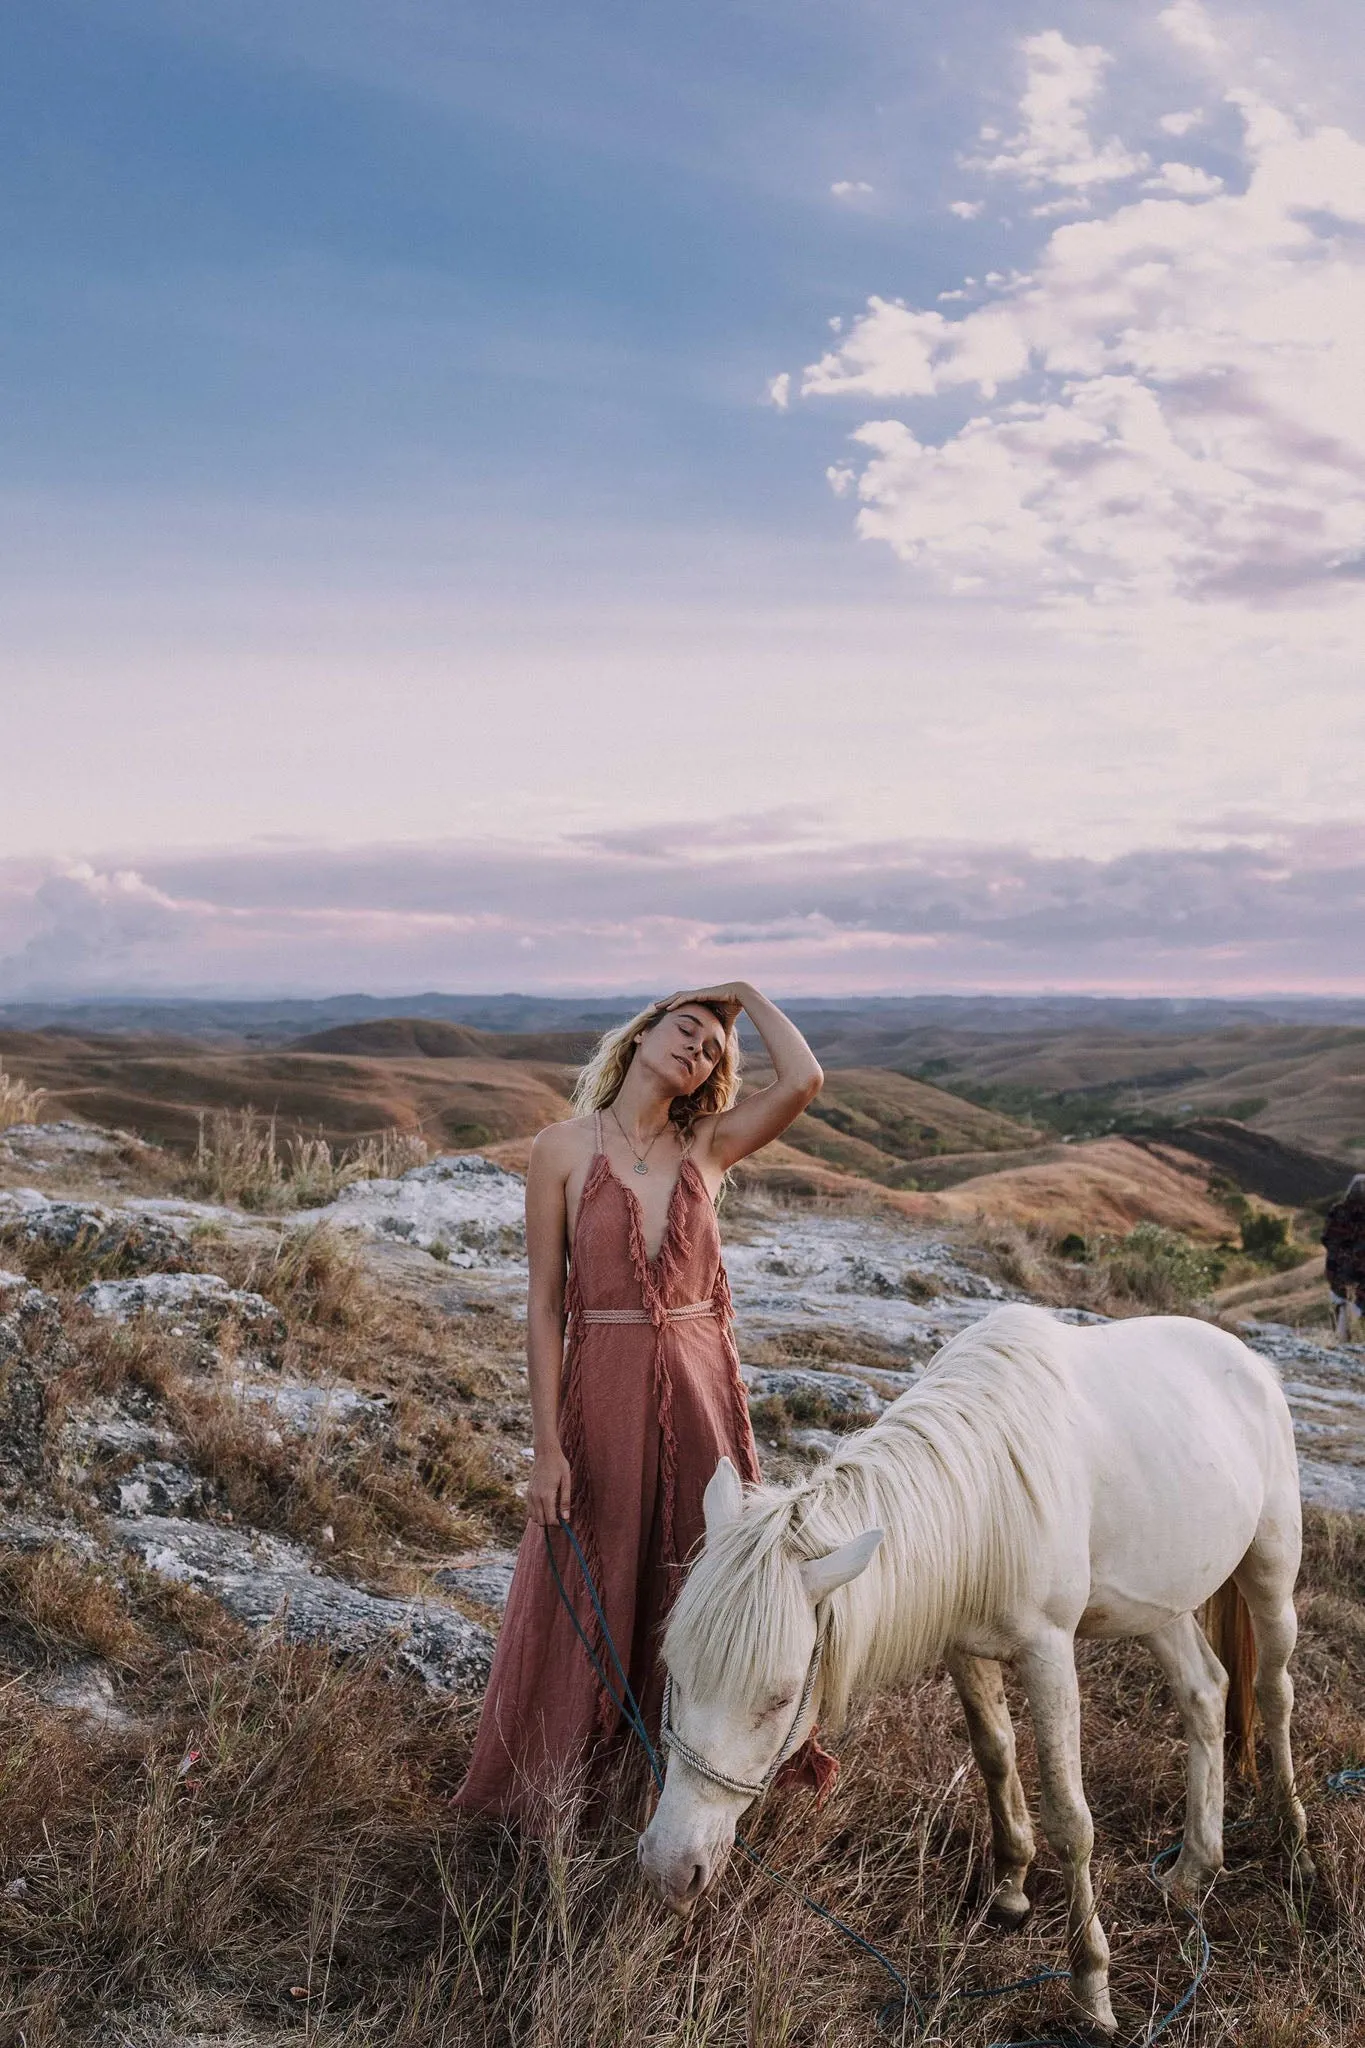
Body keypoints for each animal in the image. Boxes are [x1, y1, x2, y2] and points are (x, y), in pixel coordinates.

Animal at [642, 1310, 1309, 2031]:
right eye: (672, 1667)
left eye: (780, 1697)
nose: (669, 1868)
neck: (990, 1489)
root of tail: (1251, 1363)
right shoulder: (963, 1649)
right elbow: (995, 1756)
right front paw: (1010, 1890)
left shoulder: (1049, 1653)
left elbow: (1070, 1820)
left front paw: (1091, 1986)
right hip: (1160, 1603)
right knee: (1205, 1693)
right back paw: (1192, 1869)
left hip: (1271, 1569)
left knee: (1273, 1689)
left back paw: (1291, 1836)